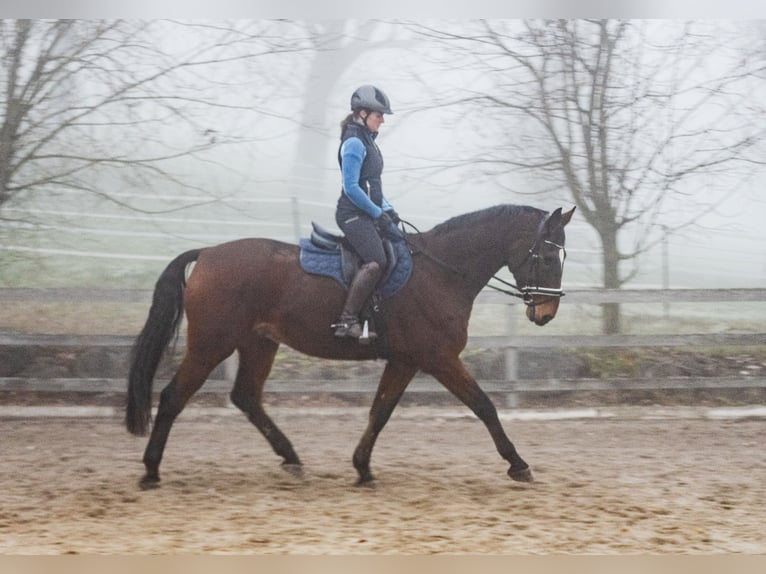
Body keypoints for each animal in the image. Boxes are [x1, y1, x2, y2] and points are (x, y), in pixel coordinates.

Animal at [126, 205, 576, 488]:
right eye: (547, 257)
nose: (547, 312)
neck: (441, 272)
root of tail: (208, 254)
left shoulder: (405, 361)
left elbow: (380, 411)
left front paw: (362, 468)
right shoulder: (438, 359)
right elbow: (484, 406)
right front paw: (518, 465)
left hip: (258, 344)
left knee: (246, 397)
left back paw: (292, 459)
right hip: (211, 345)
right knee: (173, 397)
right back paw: (150, 471)